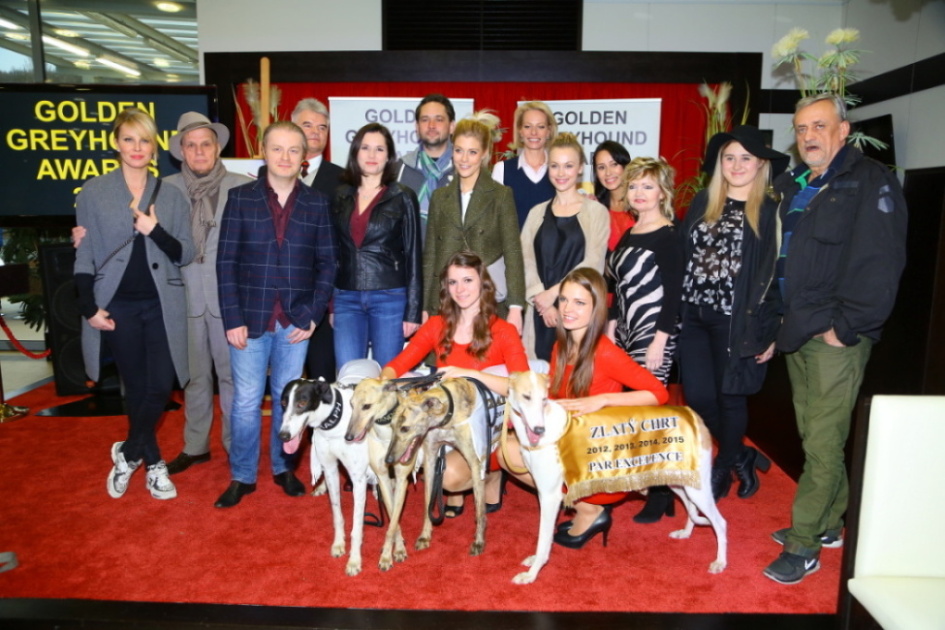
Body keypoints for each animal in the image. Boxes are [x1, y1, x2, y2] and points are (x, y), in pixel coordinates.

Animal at [279, 359, 381, 576]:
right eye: (283, 403)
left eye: (301, 403)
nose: (283, 436)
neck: (335, 420)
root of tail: (365, 359)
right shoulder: (331, 467)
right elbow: (337, 514)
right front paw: (338, 544)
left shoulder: (358, 478)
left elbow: (357, 525)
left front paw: (354, 561)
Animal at [384, 377, 489, 558]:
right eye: (391, 426)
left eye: (405, 428)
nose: (388, 460)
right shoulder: (431, 459)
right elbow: (428, 501)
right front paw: (425, 536)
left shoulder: (476, 464)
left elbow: (479, 509)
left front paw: (479, 541)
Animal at [505, 371, 728, 583]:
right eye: (526, 396)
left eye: (544, 399)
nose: (539, 430)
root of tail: (693, 414)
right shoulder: (545, 491)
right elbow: (545, 536)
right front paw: (534, 562)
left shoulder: (551, 496)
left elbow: (543, 539)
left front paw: (532, 574)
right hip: (679, 480)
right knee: (691, 508)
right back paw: (686, 533)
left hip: (697, 487)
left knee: (720, 522)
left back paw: (720, 562)